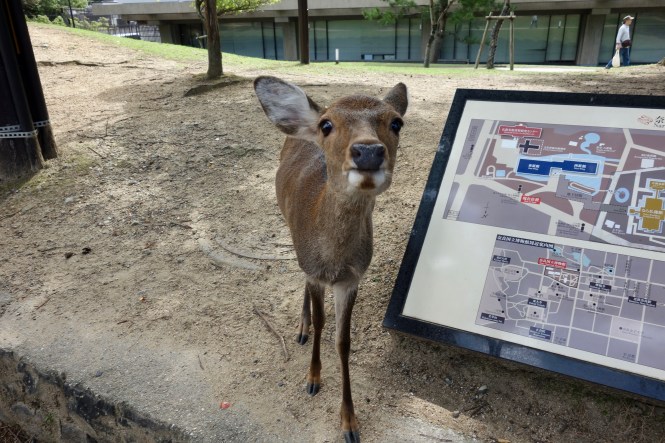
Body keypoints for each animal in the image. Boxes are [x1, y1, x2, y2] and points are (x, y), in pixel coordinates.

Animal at [254, 76, 407, 443]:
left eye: (396, 122)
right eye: (327, 125)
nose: (368, 151)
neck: (333, 260)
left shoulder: (352, 278)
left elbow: (343, 340)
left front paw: (350, 422)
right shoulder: (315, 272)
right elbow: (323, 323)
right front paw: (312, 380)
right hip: (288, 229)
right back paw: (302, 327)